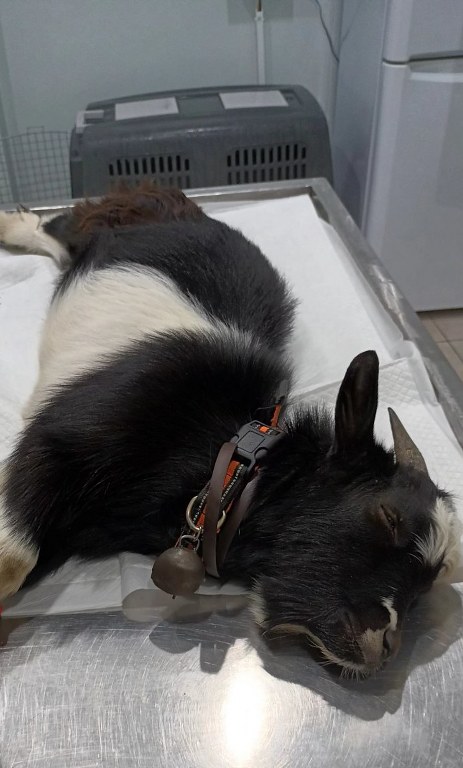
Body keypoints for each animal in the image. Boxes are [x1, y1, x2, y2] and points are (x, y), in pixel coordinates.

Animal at [0, 183, 459, 676]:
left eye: (427, 586)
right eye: (388, 517)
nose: (386, 647)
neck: (232, 456)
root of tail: (178, 201)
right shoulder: (57, 440)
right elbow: (14, 559)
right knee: (59, 226)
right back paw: (12, 224)